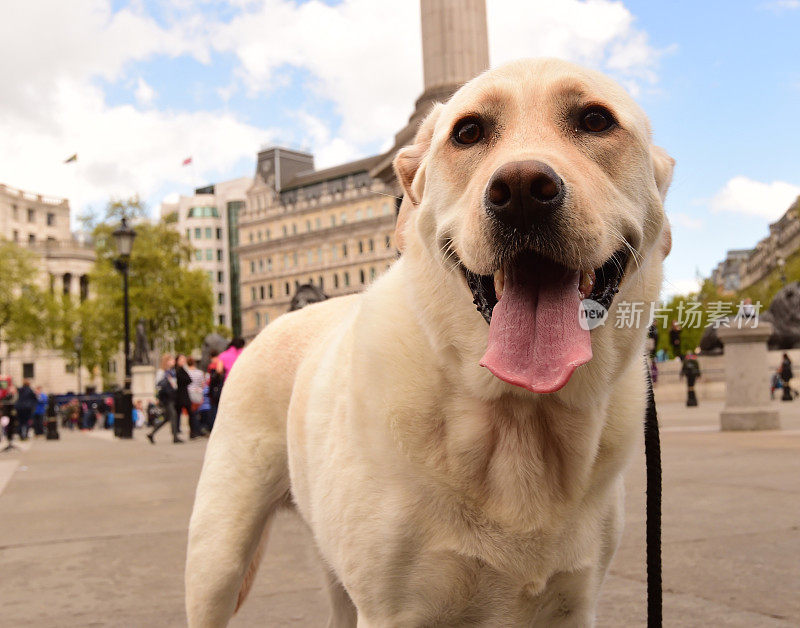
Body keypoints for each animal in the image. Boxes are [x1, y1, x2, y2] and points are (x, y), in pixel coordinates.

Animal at [184, 56, 672, 624]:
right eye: (468, 132)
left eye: (596, 121)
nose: (522, 191)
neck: (520, 418)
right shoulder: (393, 610)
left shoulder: (573, 605)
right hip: (218, 553)